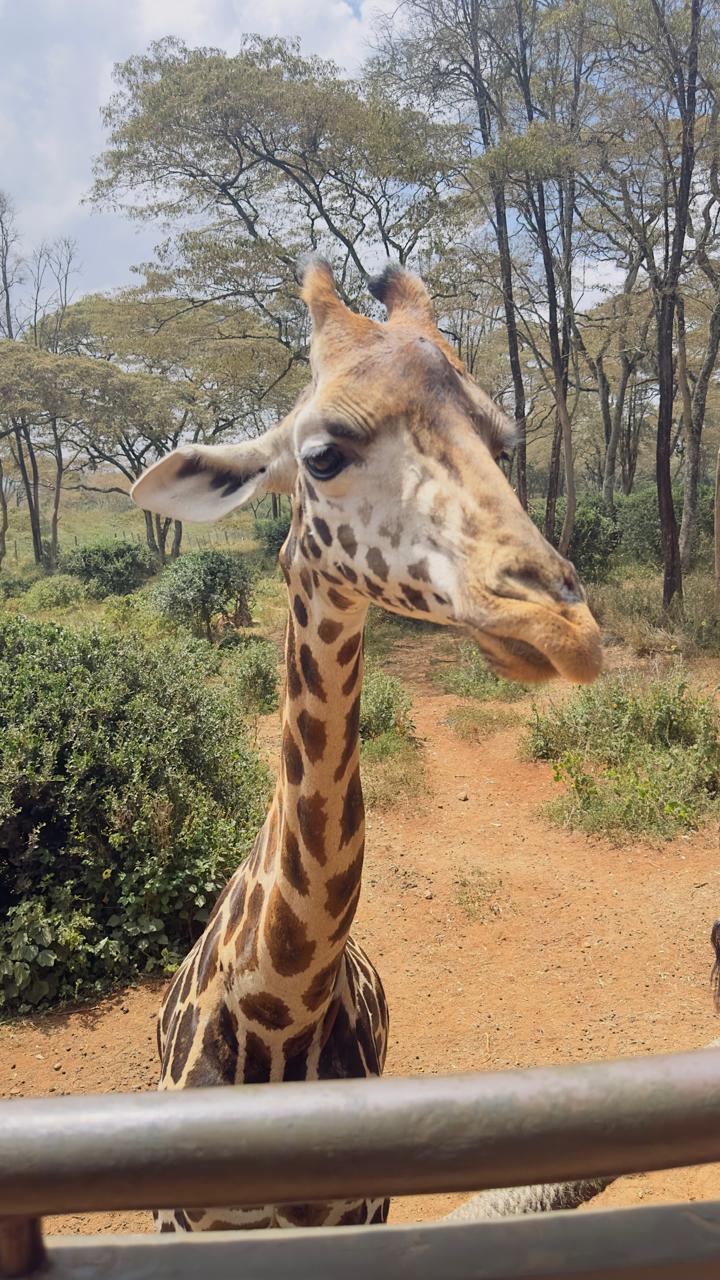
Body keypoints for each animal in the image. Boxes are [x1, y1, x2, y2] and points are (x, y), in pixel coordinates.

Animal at [131, 256, 602, 1233]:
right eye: (322, 455)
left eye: (503, 444)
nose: (563, 629)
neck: (279, 1007)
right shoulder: (179, 1221)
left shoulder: (363, 1210)